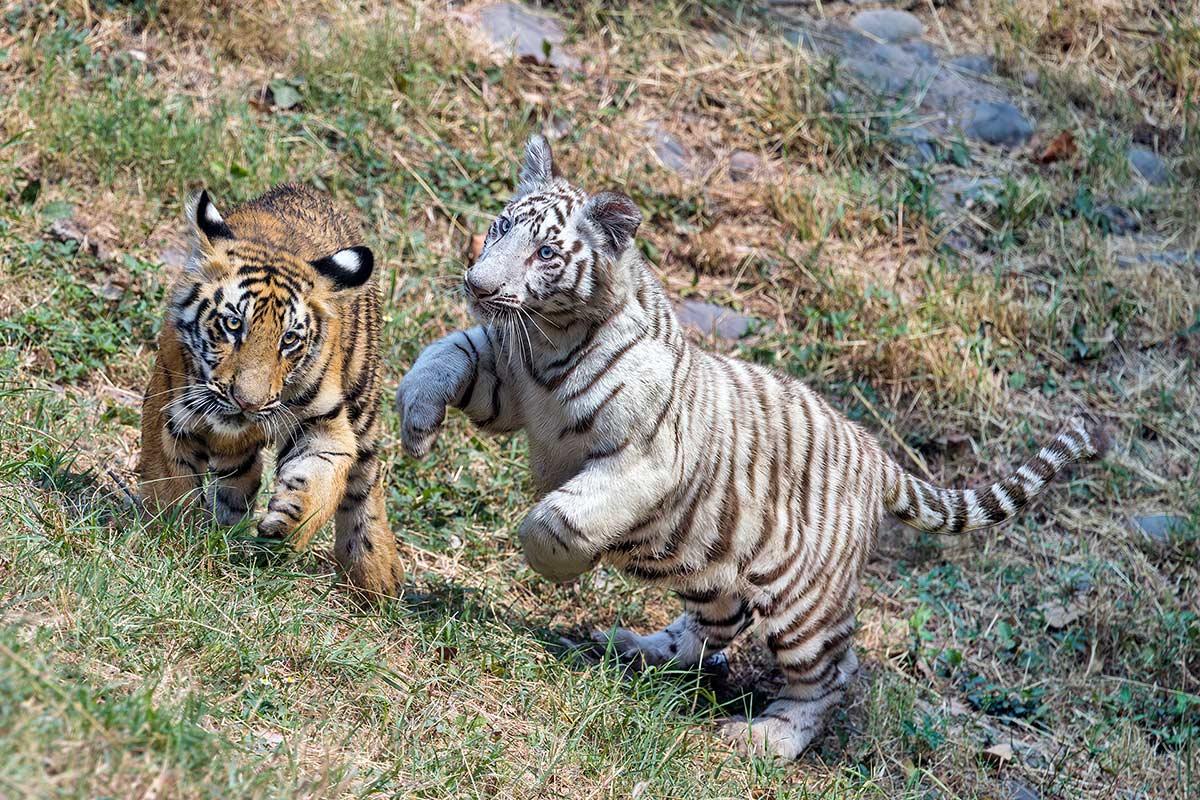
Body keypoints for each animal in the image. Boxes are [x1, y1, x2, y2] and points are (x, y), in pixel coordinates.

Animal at [139, 183, 403, 599]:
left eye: (289, 339)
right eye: (233, 324)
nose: (248, 403)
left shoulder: (326, 424)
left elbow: (321, 481)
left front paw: (286, 525)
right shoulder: (168, 414)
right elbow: (171, 486)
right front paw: (174, 539)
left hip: (362, 394)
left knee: (366, 478)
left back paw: (376, 572)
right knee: (240, 477)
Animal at [395, 136, 1109, 758]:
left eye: (545, 252)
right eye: (499, 227)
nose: (478, 285)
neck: (549, 341)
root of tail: (876, 455)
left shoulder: (644, 459)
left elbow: (550, 519)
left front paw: (564, 565)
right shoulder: (503, 375)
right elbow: (444, 355)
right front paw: (415, 423)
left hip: (804, 603)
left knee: (833, 673)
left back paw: (766, 740)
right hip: (708, 565)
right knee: (721, 621)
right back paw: (640, 648)